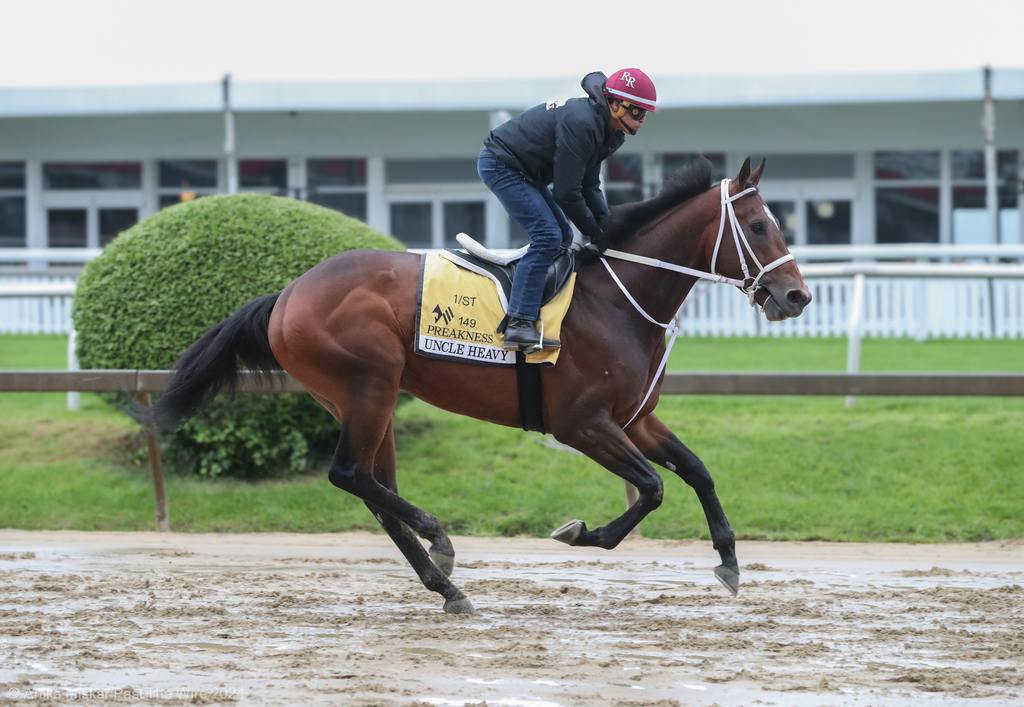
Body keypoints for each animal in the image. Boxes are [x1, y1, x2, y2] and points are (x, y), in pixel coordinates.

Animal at [153, 156, 806, 606]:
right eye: (757, 225)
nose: (795, 296)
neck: (617, 298)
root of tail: (288, 293)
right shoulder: (581, 424)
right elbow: (651, 487)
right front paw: (580, 533)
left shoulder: (634, 418)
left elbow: (696, 471)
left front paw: (729, 561)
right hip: (368, 389)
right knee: (350, 475)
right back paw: (438, 538)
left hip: (366, 402)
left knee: (372, 487)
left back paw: (443, 583)